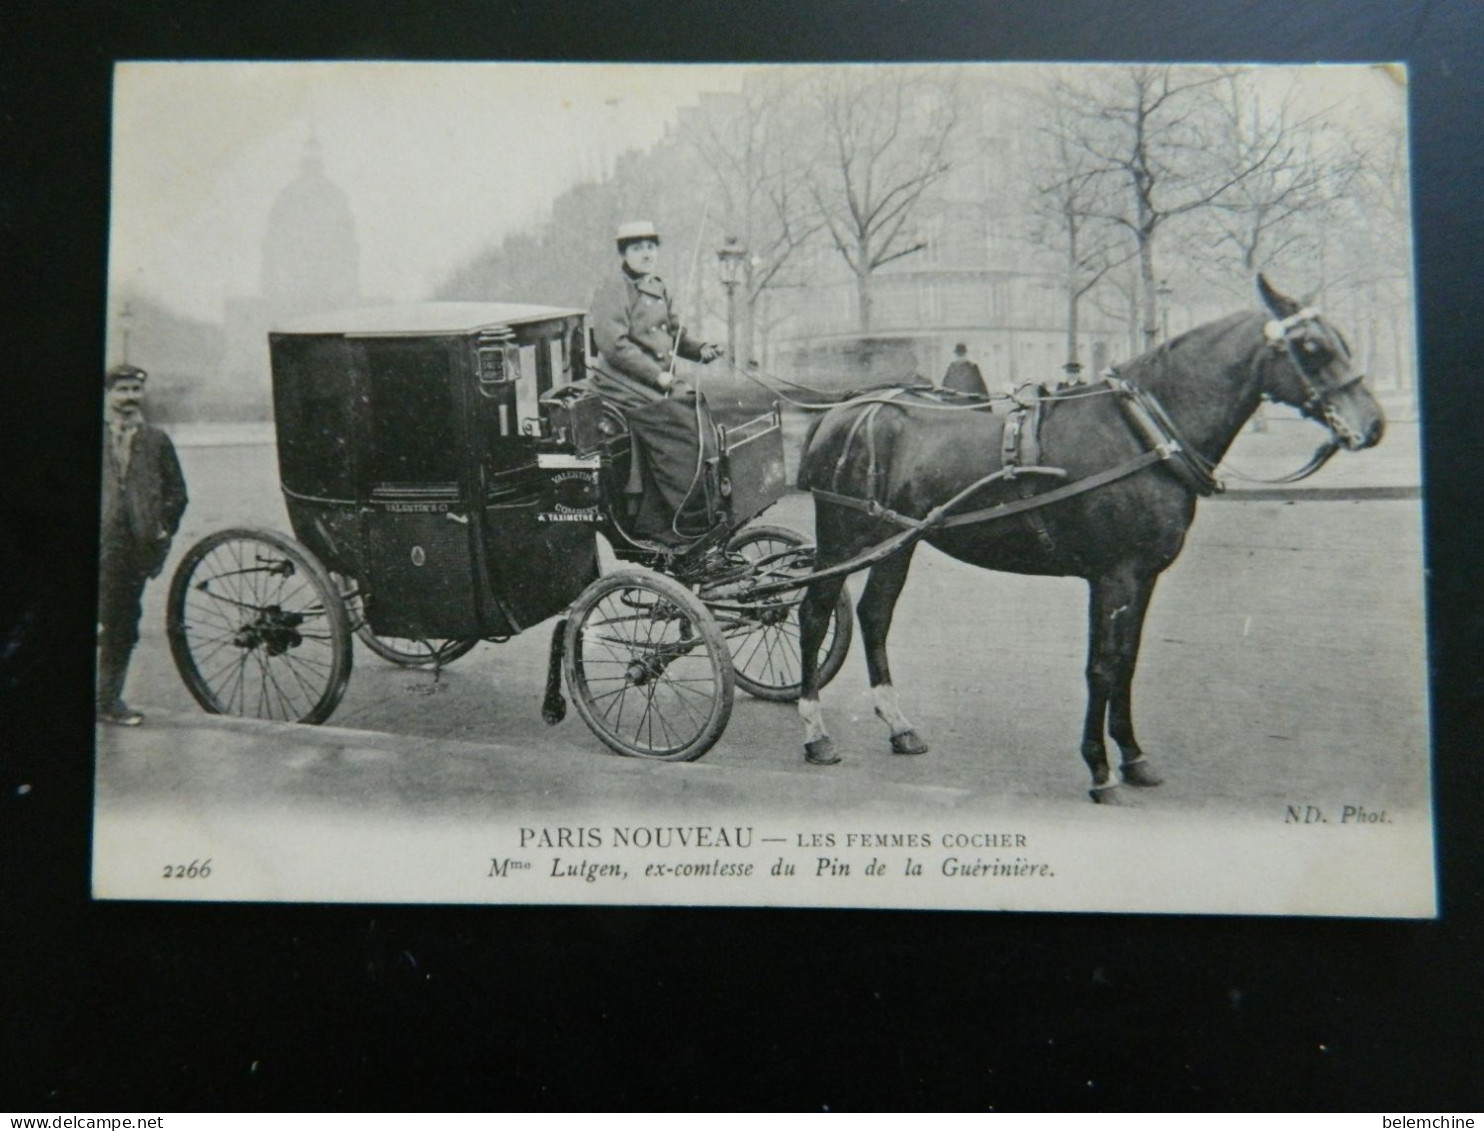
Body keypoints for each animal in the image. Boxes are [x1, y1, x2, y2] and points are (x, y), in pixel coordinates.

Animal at [795, 276, 1383, 795]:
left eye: (1342, 340)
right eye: (1311, 347)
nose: (1373, 425)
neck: (1142, 433)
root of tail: (843, 410)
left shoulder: (1142, 577)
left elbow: (1126, 662)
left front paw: (1134, 757)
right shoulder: (1113, 576)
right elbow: (1101, 667)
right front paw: (1100, 769)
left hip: (897, 542)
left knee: (875, 614)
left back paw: (899, 725)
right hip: (845, 536)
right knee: (815, 613)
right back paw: (815, 731)